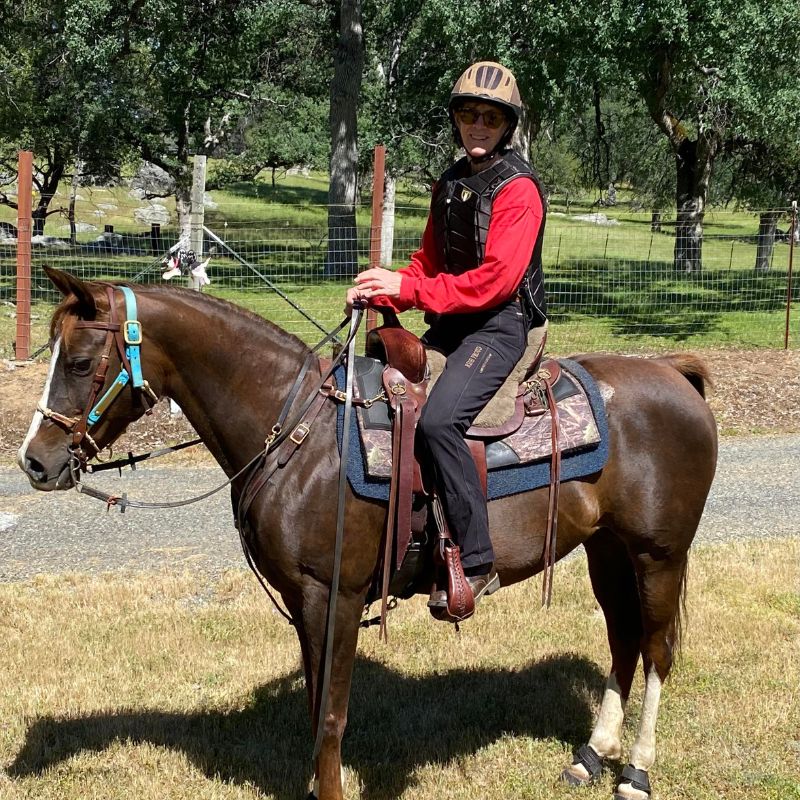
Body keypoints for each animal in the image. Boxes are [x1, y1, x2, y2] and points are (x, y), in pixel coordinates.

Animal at [18, 270, 720, 800]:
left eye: (80, 361)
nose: (35, 462)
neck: (300, 435)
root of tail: (675, 374)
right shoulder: (304, 601)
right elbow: (313, 709)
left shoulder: (336, 595)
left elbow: (331, 716)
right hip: (608, 548)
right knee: (623, 639)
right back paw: (591, 755)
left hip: (658, 554)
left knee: (657, 650)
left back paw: (635, 772)